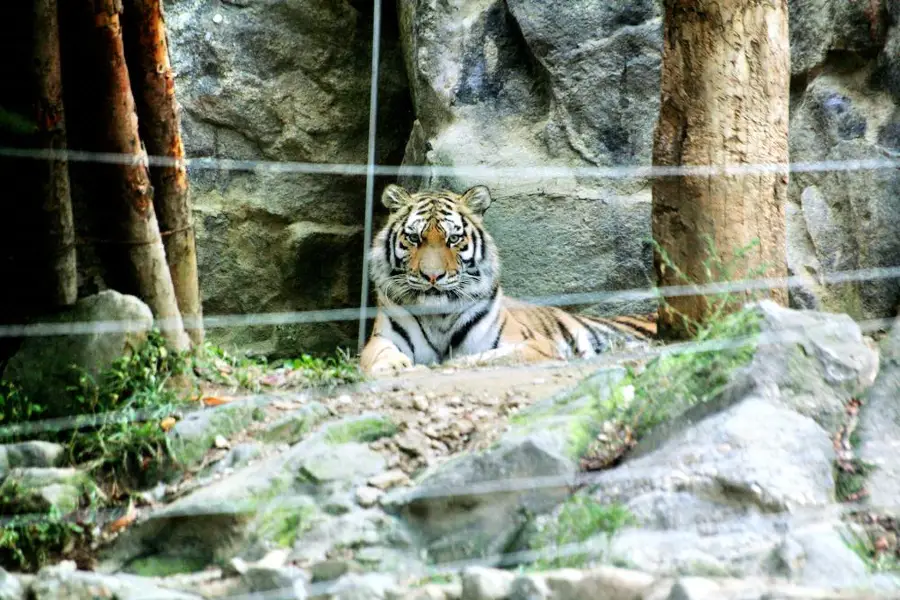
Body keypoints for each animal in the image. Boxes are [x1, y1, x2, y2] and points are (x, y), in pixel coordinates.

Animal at [356, 183, 656, 376]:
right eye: (413, 238)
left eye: (453, 238)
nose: (432, 275)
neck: (438, 317)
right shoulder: (381, 339)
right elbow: (379, 354)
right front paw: (393, 366)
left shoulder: (534, 344)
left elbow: (492, 356)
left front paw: (454, 365)